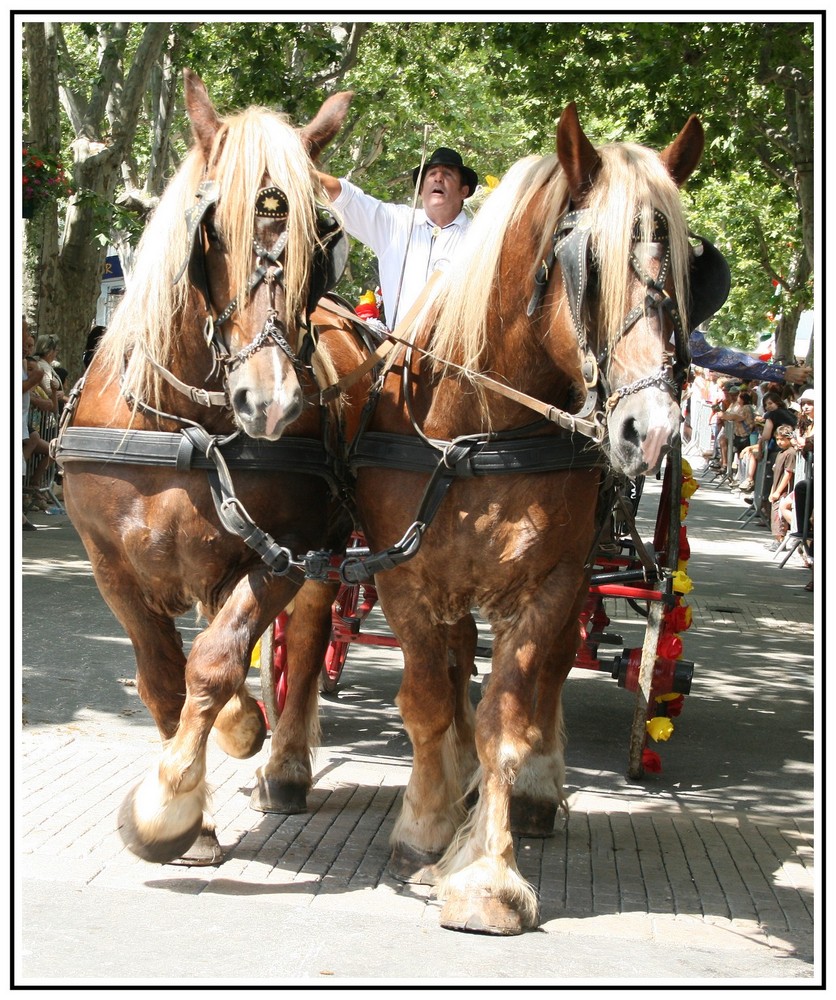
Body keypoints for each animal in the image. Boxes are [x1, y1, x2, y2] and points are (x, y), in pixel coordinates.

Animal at [57, 72, 370, 868]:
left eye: (321, 239)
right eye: (212, 233)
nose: (272, 400)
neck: (183, 423)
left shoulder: (282, 555)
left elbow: (218, 660)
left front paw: (167, 804)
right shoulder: (112, 566)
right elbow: (164, 678)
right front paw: (193, 816)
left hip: (326, 549)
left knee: (311, 636)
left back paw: (285, 763)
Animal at [350, 105, 728, 932]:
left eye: (692, 274)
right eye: (589, 265)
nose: (651, 431)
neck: (478, 426)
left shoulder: (550, 583)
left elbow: (509, 717)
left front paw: (487, 874)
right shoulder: (405, 578)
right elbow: (428, 700)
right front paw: (426, 825)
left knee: (550, 672)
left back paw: (532, 797)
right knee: (457, 661)